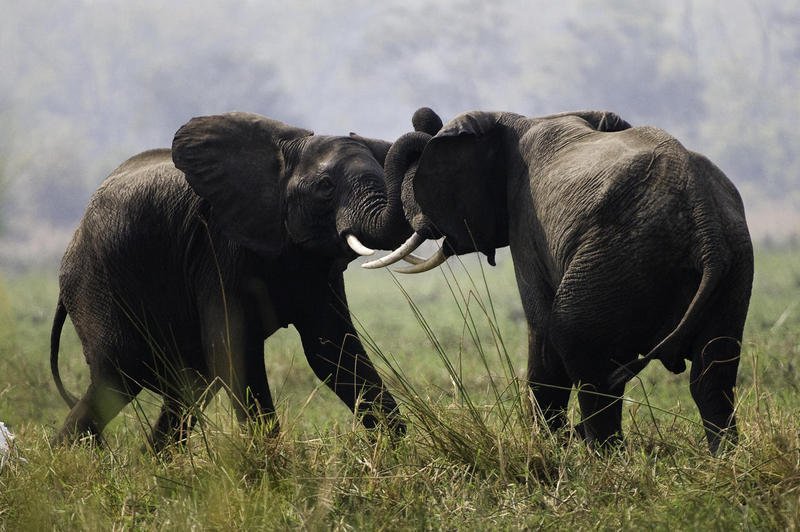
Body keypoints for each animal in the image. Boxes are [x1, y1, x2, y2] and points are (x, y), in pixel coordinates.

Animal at [50, 112, 413, 451]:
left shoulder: (316, 267)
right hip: (94, 281)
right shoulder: (220, 248)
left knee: (189, 387)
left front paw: (392, 455)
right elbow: (234, 348)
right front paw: (271, 464)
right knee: (119, 374)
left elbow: (333, 350)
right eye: (325, 186)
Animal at [367, 107, 753, 454]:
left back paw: (603, 459)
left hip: (616, 261)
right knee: (711, 376)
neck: (509, 120)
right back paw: (723, 460)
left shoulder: (525, 220)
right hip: (733, 271)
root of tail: (705, 224)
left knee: (585, 359)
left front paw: (549, 446)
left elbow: (541, 332)